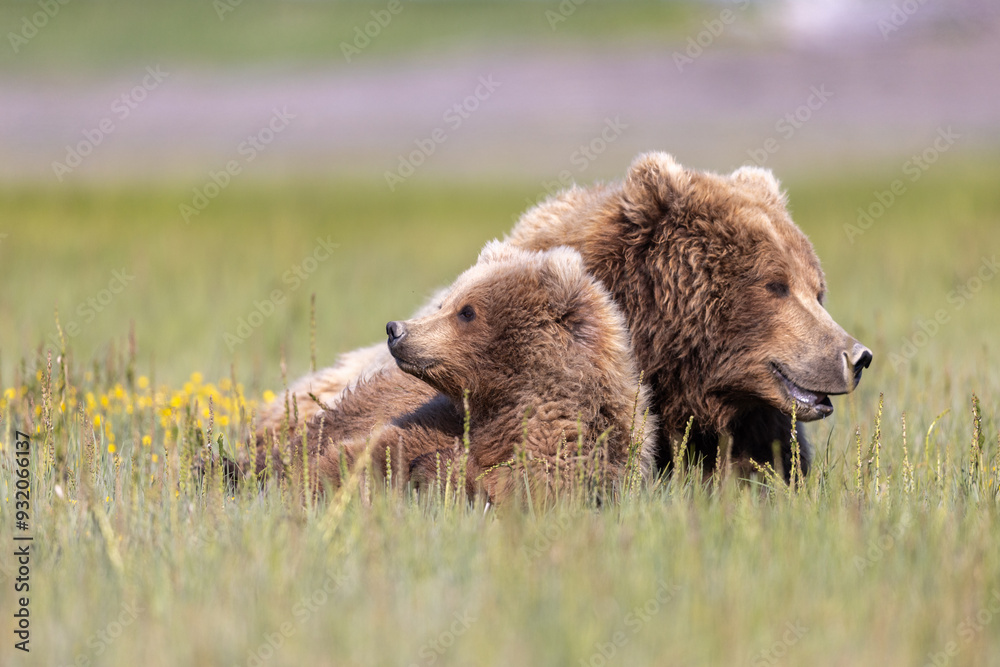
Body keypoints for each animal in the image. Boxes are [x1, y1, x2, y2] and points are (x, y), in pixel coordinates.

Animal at [257, 242, 656, 503]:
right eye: (443, 303)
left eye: (467, 311)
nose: (396, 329)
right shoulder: (434, 417)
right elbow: (370, 452)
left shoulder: (570, 452)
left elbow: (516, 485)